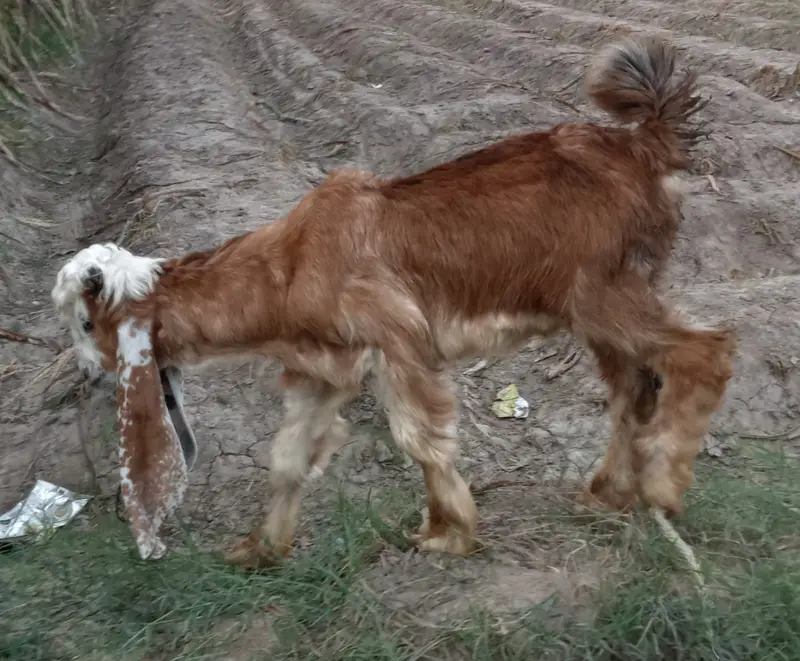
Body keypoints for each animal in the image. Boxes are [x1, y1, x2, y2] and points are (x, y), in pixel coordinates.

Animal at [52, 37, 735, 567]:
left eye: (86, 323)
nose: (88, 375)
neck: (288, 264)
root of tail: (644, 145)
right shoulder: (323, 367)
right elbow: (288, 457)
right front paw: (260, 549)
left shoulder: (400, 337)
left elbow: (419, 437)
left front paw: (447, 533)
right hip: (600, 307)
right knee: (634, 387)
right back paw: (607, 494)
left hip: (603, 294)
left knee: (704, 351)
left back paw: (663, 486)